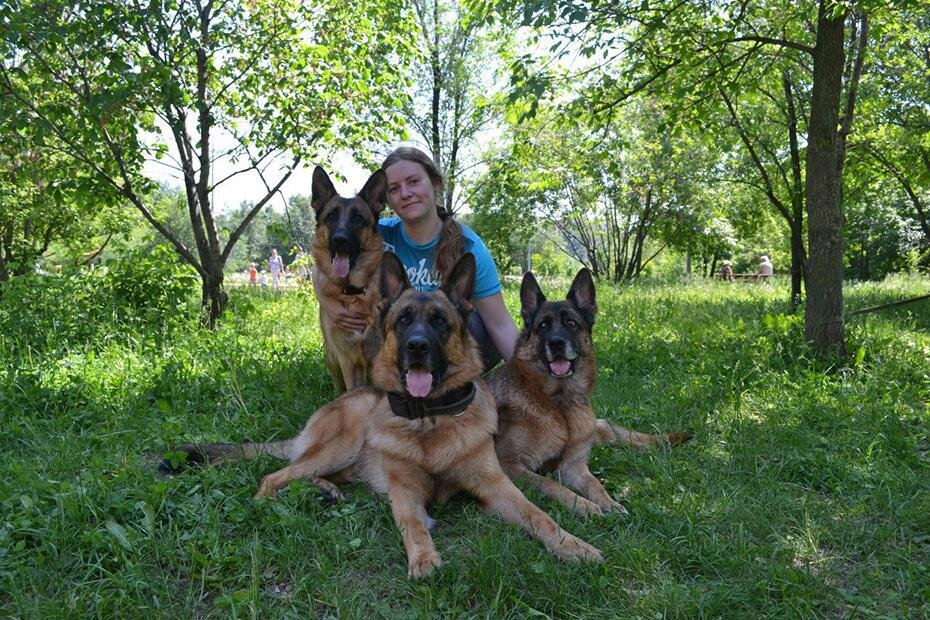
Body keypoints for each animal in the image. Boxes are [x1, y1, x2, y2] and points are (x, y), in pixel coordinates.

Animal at [165, 251, 600, 576]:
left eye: (439, 321)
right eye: (403, 320)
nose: (416, 346)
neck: (429, 418)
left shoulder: (498, 484)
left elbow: (539, 514)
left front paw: (574, 543)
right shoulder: (404, 492)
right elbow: (412, 523)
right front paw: (424, 557)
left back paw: (326, 490)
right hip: (343, 439)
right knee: (273, 478)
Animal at [310, 165, 386, 392]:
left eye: (358, 218)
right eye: (331, 217)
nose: (340, 240)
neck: (354, 293)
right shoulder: (347, 361)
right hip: (331, 358)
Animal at [486, 272, 688, 520]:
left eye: (571, 323)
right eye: (543, 325)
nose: (556, 343)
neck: (559, 404)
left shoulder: (573, 466)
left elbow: (595, 485)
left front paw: (609, 503)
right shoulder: (510, 465)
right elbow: (552, 485)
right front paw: (584, 506)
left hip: (601, 430)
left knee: (628, 437)